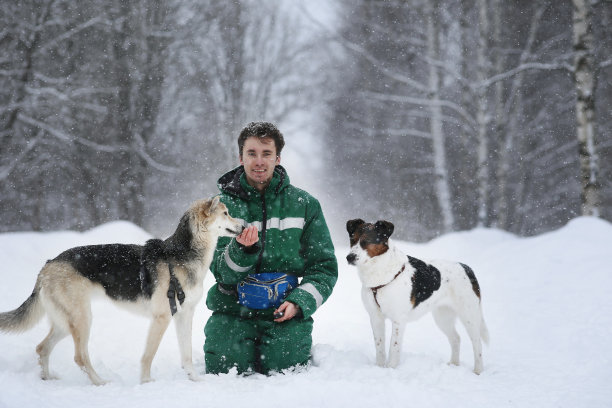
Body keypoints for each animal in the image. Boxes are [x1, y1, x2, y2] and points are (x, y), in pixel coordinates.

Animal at [0, 198, 244, 386]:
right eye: (226, 213)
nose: (243, 225)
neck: (182, 255)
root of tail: (48, 265)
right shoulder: (162, 318)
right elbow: (148, 355)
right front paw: (146, 383)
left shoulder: (184, 316)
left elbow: (186, 355)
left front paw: (194, 380)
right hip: (82, 319)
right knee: (79, 357)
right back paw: (100, 383)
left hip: (65, 323)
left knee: (42, 348)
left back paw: (47, 378)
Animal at [346, 218, 490, 374]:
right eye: (352, 240)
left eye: (365, 241)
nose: (349, 257)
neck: (381, 273)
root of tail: (467, 268)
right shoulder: (375, 317)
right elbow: (379, 347)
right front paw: (379, 368)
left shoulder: (398, 320)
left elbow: (393, 348)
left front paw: (391, 369)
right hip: (443, 317)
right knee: (456, 338)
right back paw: (454, 364)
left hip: (469, 316)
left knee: (477, 343)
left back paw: (478, 371)